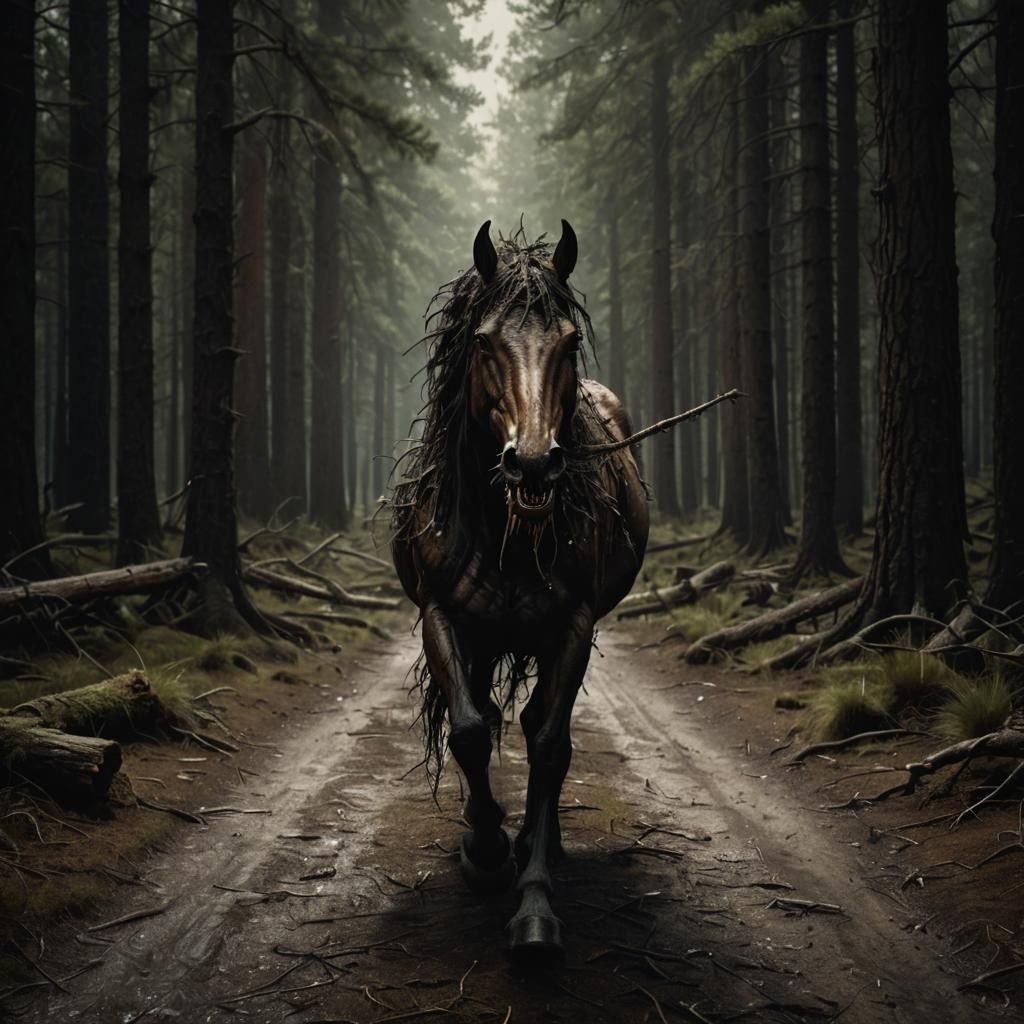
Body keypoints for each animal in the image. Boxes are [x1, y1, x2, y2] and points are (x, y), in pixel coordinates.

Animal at [390, 220, 650, 956]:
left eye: (569, 342)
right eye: (483, 342)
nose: (533, 462)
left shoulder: (574, 624)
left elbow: (550, 745)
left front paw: (534, 900)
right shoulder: (442, 616)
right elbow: (471, 731)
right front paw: (484, 851)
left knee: (541, 729)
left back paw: (543, 840)